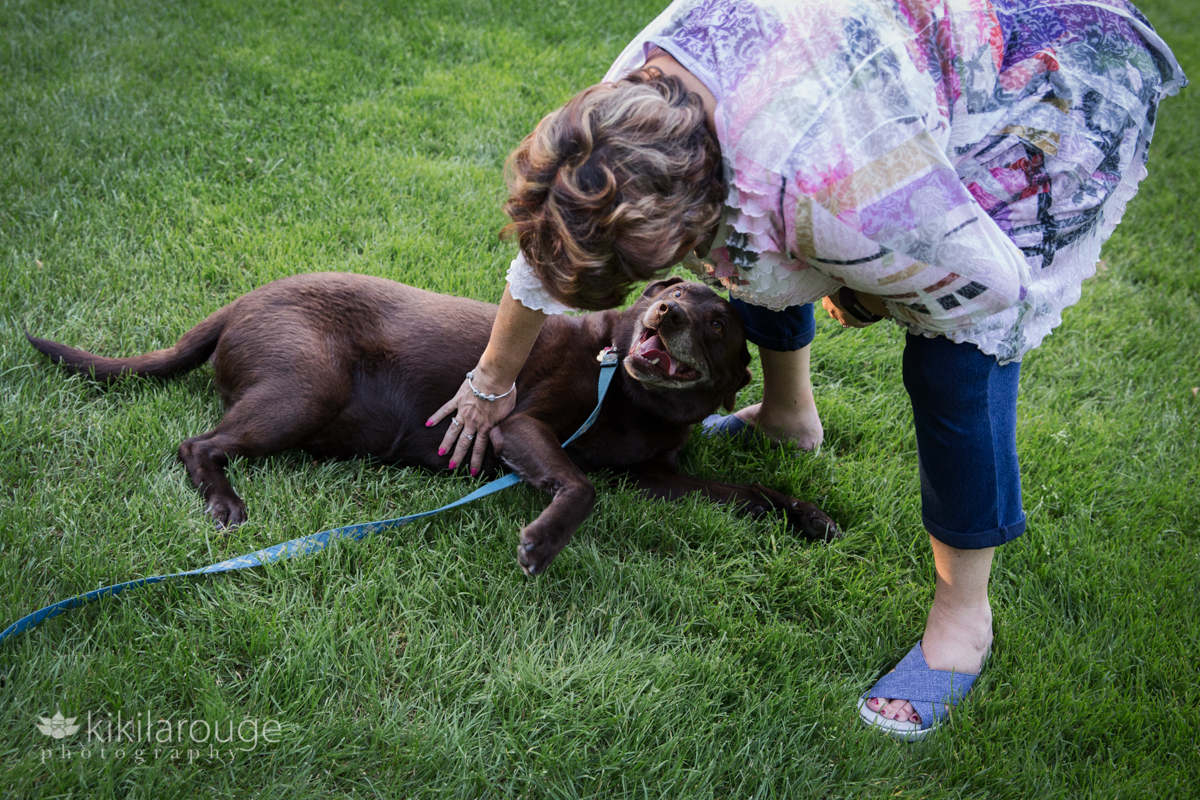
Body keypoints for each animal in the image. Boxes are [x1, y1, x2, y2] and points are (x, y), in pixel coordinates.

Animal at [25, 275, 835, 575]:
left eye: (718, 319)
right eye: (675, 289)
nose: (665, 314)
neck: (634, 398)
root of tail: (240, 303)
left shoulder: (658, 477)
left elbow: (746, 491)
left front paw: (810, 515)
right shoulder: (520, 430)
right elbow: (579, 486)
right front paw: (543, 543)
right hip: (305, 388)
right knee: (199, 444)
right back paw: (224, 503)